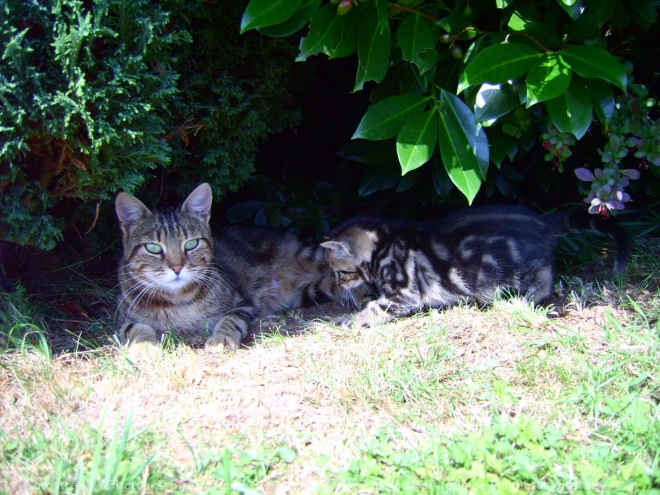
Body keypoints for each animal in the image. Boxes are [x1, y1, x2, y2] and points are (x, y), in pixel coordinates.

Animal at [114, 183, 346, 352]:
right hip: (310, 292)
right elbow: (136, 329)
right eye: (153, 247)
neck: (178, 300)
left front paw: (221, 338)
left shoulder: (242, 304)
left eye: (191, 244)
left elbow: (229, 320)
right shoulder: (124, 320)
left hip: (310, 257)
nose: (177, 267)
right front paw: (144, 346)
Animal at [322, 206, 632, 330]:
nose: (336, 286)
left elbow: (378, 308)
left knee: (544, 275)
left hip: (515, 267)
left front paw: (351, 319)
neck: (384, 245)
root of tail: (544, 223)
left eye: (339, 272)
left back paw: (530, 297)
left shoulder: (404, 291)